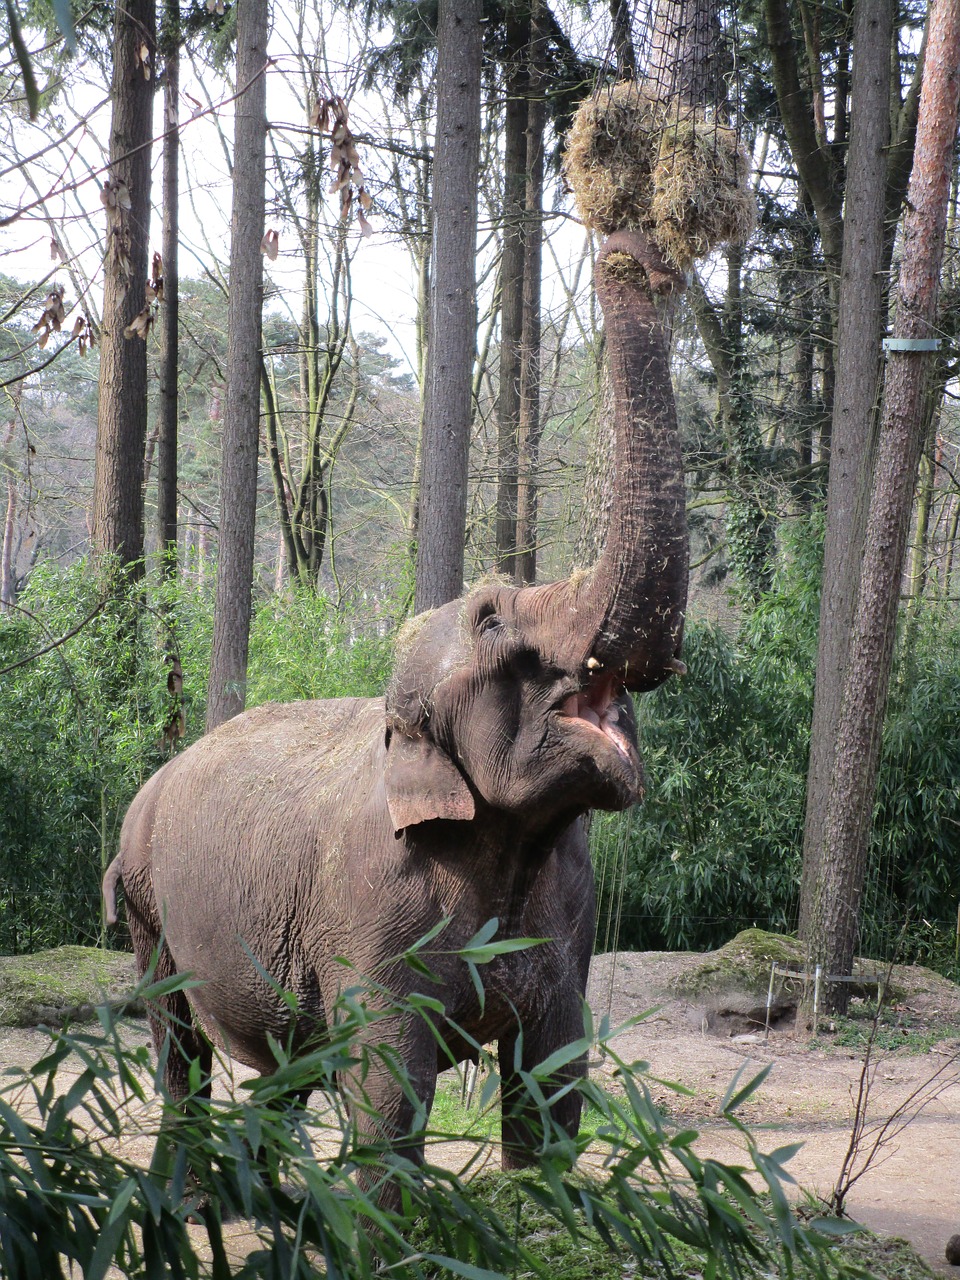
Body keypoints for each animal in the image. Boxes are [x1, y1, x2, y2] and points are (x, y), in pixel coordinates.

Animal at [103, 227, 691, 1187]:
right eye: (490, 617)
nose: (629, 245)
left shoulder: (571, 916)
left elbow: (553, 1082)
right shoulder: (370, 909)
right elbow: (388, 1091)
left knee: (285, 1069)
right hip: (147, 906)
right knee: (180, 1052)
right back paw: (183, 1198)